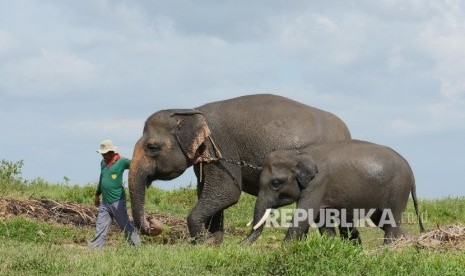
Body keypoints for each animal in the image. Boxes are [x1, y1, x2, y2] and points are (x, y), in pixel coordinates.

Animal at [129, 93, 350, 244]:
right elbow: (209, 193)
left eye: (151, 147)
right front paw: (214, 243)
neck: (192, 111)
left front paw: (202, 243)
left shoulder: (221, 146)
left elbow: (227, 193)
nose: (154, 223)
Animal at [246, 140, 424, 244]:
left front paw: (285, 249)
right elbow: (321, 220)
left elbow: (304, 215)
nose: (241, 246)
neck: (298, 153)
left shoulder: (317, 183)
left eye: (276, 183)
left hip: (398, 190)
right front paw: (332, 246)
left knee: (390, 223)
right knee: (384, 222)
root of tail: (411, 172)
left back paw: (386, 252)